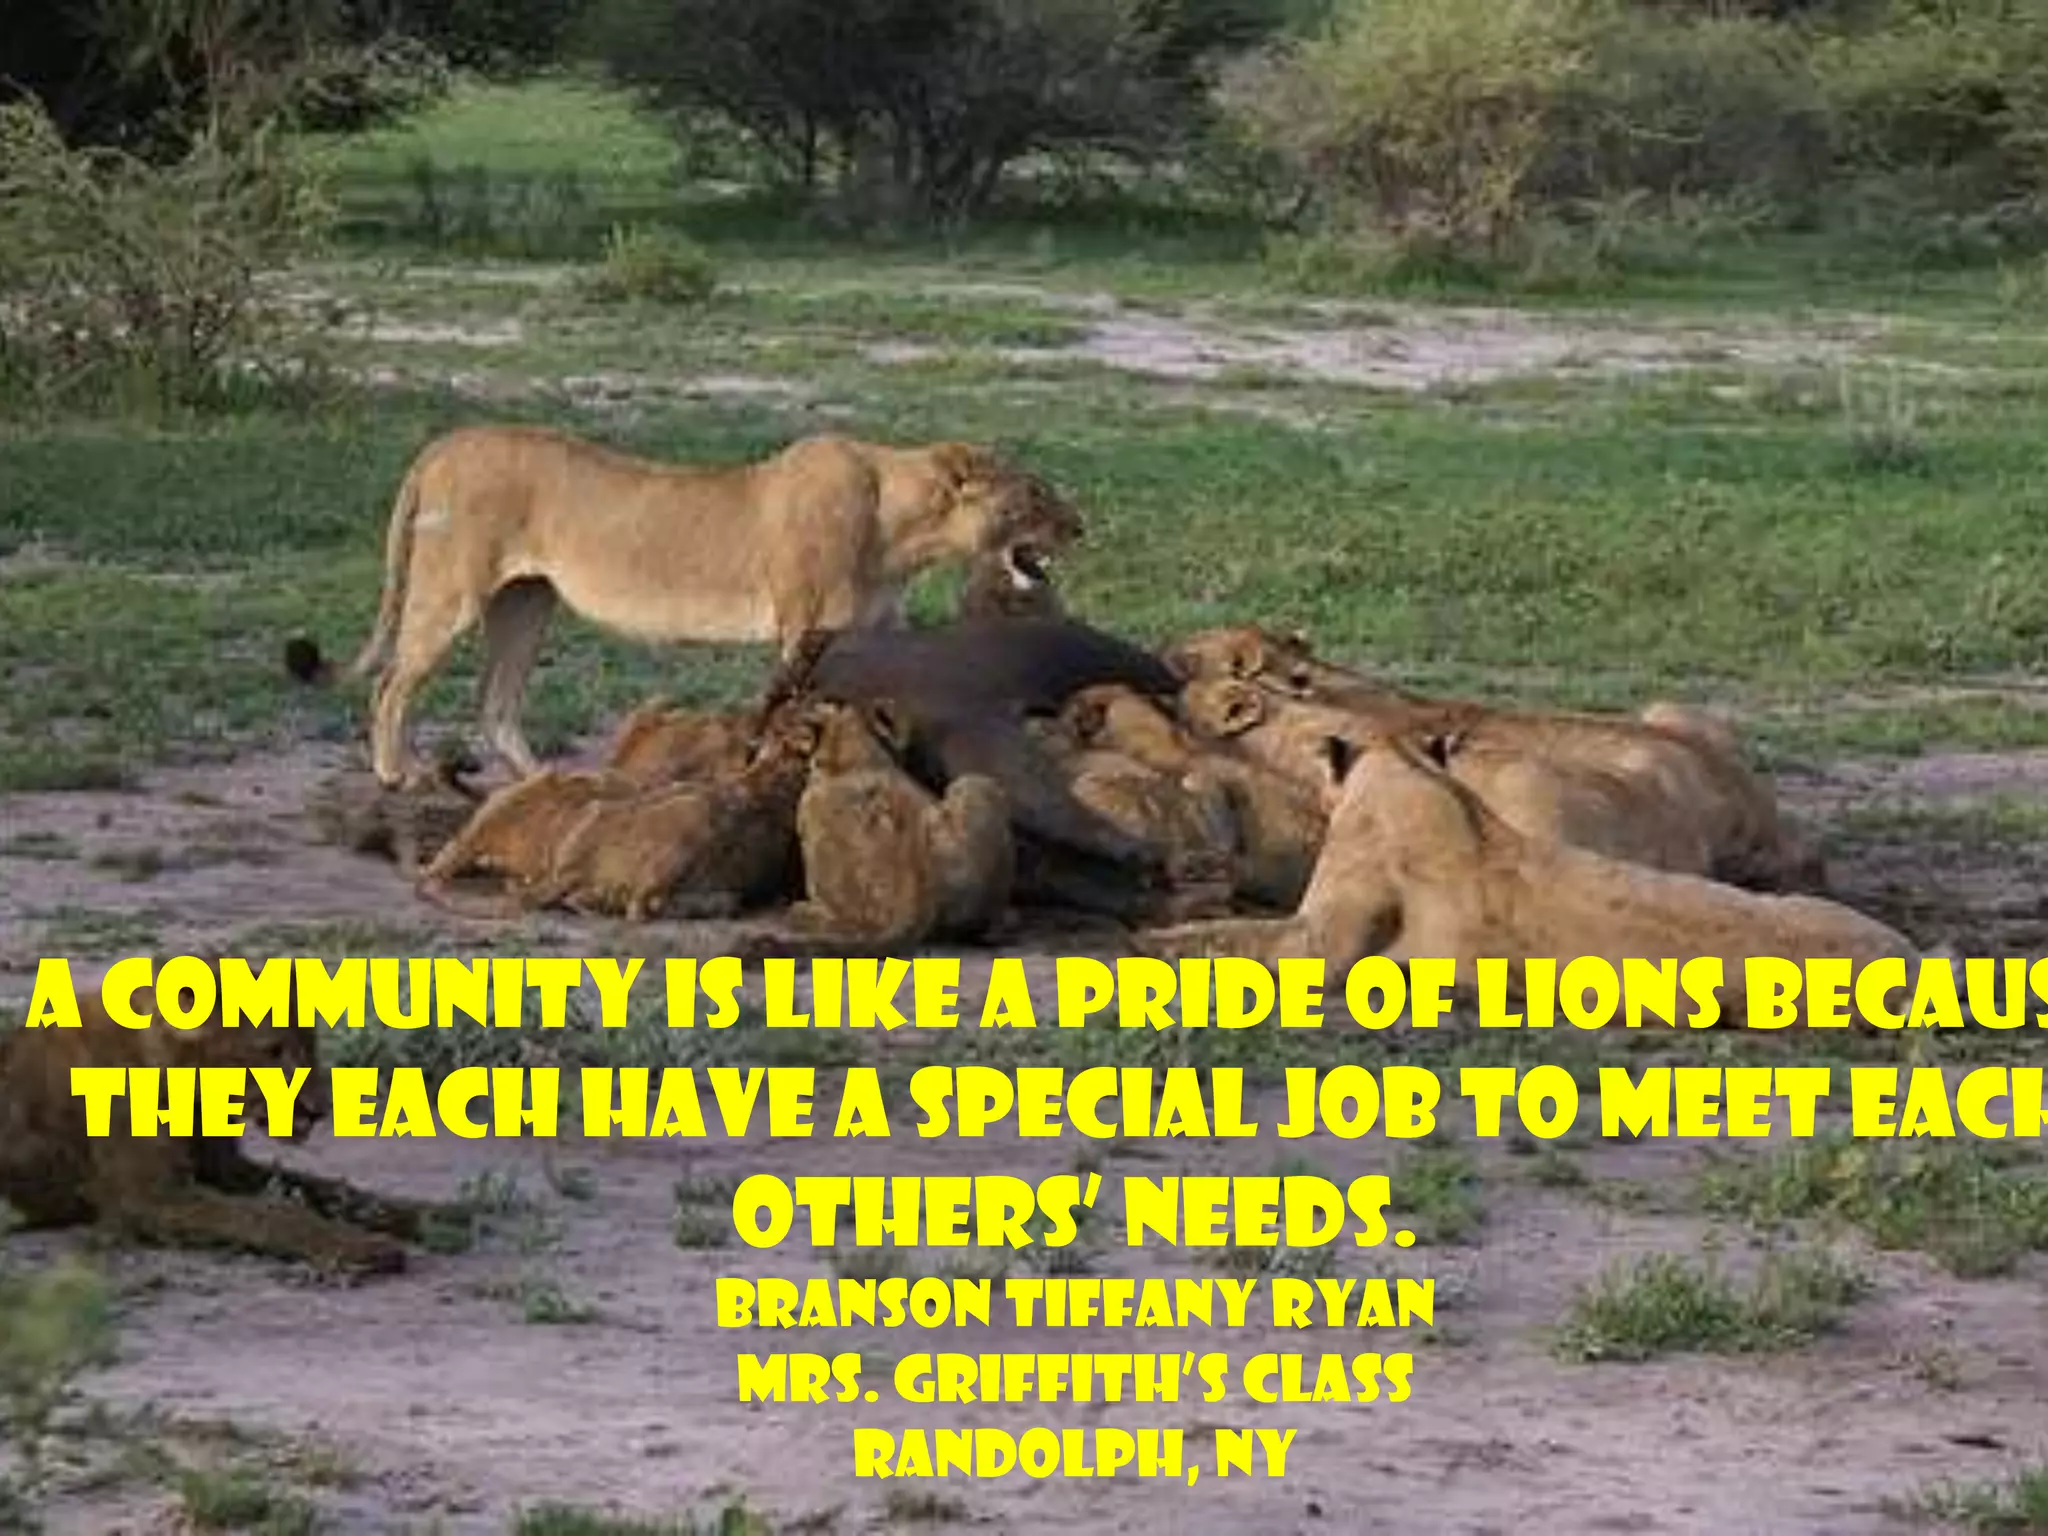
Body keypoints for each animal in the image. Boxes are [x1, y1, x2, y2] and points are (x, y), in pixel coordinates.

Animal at [0, 961, 453, 1273]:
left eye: (311, 1044)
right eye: (272, 1050)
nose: (318, 1111)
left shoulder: (226, 1169)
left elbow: (323, 1189)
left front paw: (430, 1215)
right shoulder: (147, 1197)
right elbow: (271, 1212)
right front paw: (361, 1246)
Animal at [312, 425, 1083, 788]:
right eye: (1035, 494)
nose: (1082, 527)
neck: (904, 533)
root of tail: (442, 444)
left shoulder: (879, 627)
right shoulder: (810, 625)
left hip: (527, 603)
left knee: (495, 704)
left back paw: (552, 782)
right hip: (452, 592)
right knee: (392, 683)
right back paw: (394, 772)